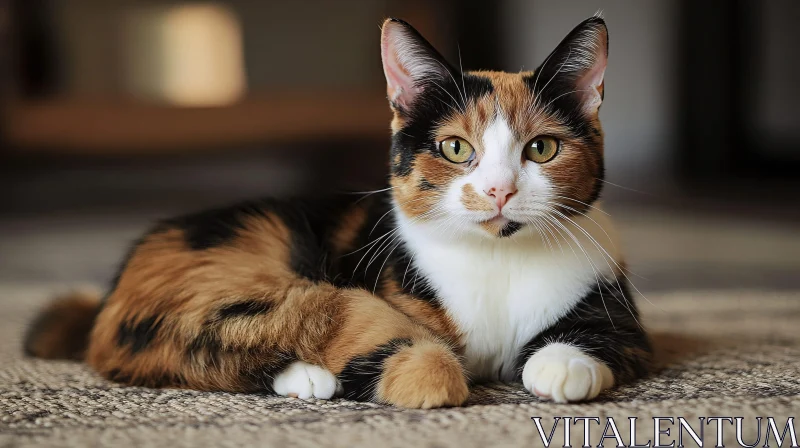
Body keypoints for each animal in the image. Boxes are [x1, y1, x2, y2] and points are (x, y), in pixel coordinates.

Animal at [26, 16, 648, 410]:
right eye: (455, 148)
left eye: (541, 148)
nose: (498, 190)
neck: (497, 258)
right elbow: (367, 324)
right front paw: (425, 376)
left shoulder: (618, 306)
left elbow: (610, 337)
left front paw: (558, 364)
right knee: (186, 343)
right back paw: (309, 376)